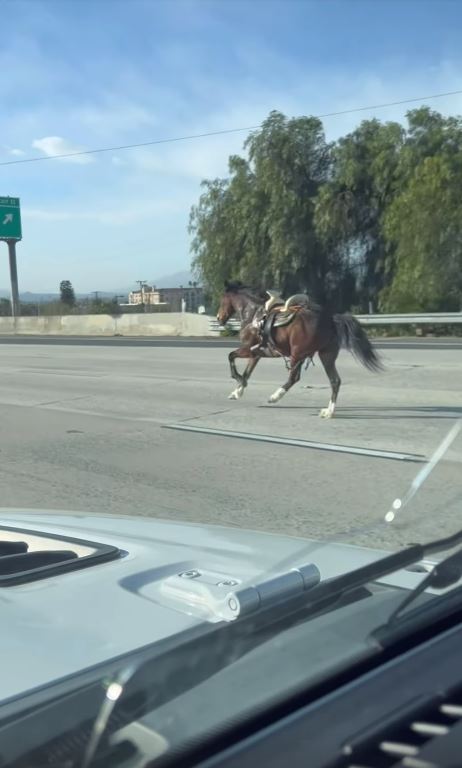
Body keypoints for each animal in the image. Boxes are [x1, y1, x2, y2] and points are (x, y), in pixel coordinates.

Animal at [217, 280, 382, 416]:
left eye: (222, 299)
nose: (219, 318)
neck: (253, 314)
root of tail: (330, 319)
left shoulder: (248, 349)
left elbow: (231, 357)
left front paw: (238, 381)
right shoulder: (256, 353)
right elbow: (247, 373)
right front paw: (237, 391)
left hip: (297, 354)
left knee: (293, 378)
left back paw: (275, 397)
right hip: (325, 355)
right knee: (335, 381)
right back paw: (328, 411)